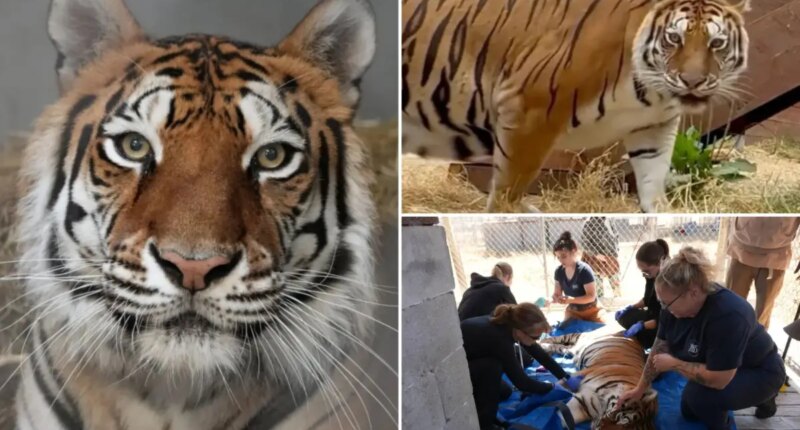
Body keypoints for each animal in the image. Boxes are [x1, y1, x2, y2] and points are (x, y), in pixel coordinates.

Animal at [402, 0, 750, 213]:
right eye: (674, 39)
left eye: (717, 43)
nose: (692, 82)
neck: (652, 91)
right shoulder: (528, 110)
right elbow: (507, 191)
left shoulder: (652, 127)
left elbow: (653, 181)